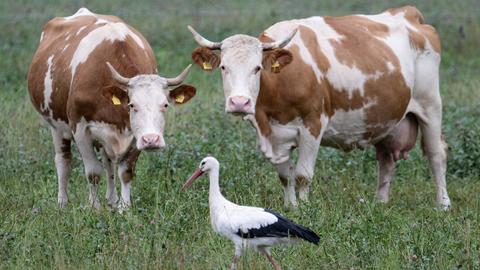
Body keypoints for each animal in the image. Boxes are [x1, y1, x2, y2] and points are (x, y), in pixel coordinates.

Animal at [27, 7, 197, 211]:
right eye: (132, 105)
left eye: (165, 105)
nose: (151, 140)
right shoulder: (80, 130)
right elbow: (93, 172)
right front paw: (95, 208)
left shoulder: (135, 136)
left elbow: (125, 172)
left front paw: (124, 208)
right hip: (56, 126)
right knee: (63, 161)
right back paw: (62, 203)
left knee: (108, 165)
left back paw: (112, 200)